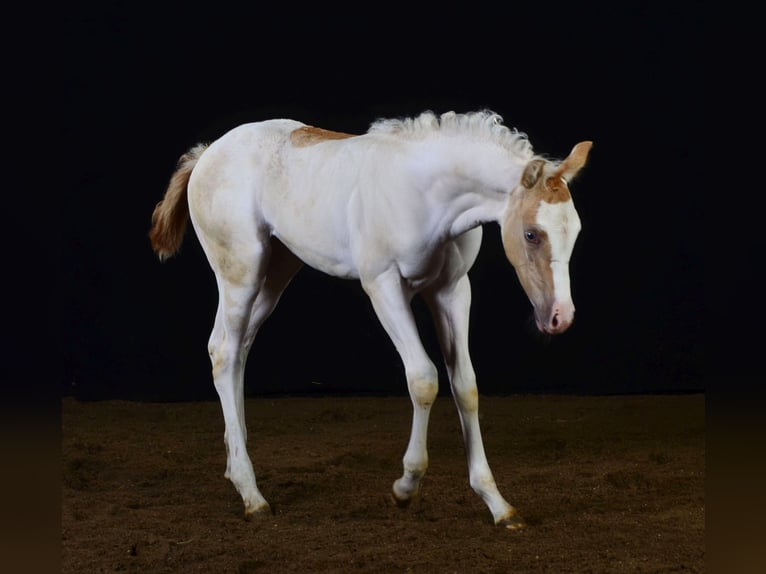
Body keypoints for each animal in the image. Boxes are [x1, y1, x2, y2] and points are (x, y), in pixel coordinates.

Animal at [149, 110, 592, 529]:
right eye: (532, 234)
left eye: (575, 231)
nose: (560, 316)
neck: (425, 194)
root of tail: (208, 153)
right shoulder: (383, 285)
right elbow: (424, 379)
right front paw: (405, 488)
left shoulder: (451, 290)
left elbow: (465, 386)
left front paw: (498, 504)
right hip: (241, 272)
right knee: (225, 354)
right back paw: (251, 495)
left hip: (275, 272)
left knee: (234, 349)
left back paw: (235, 467)